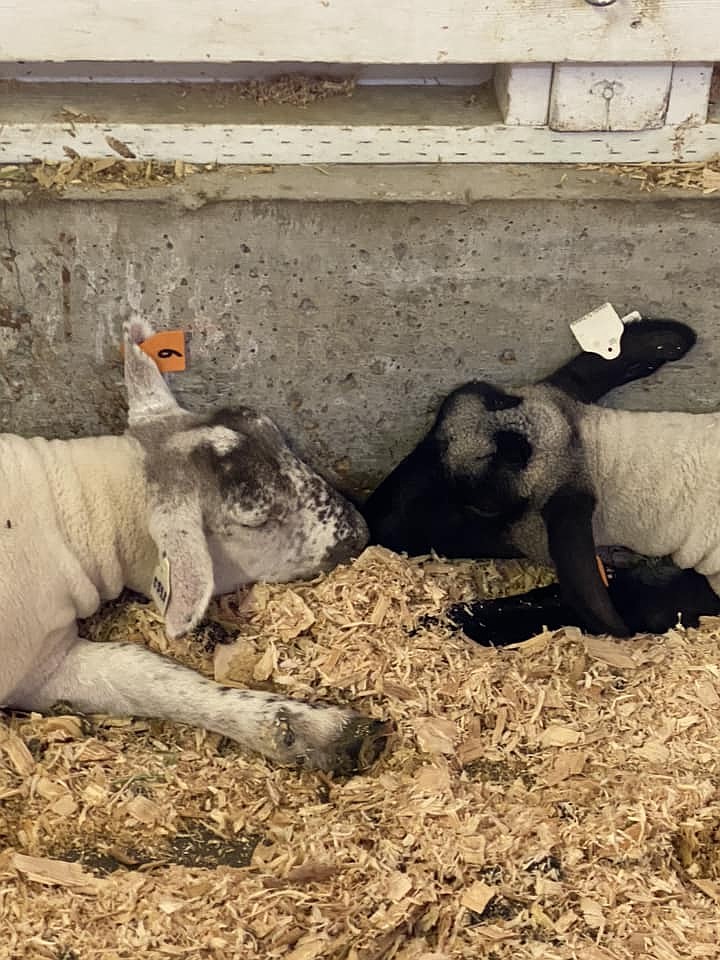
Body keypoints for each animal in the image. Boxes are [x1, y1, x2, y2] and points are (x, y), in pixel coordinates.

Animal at [0, 320, 390, 772]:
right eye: (254, 518)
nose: (358, 529)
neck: (67, 509)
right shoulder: (31, 661)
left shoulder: (44, 661)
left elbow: (141, 672)